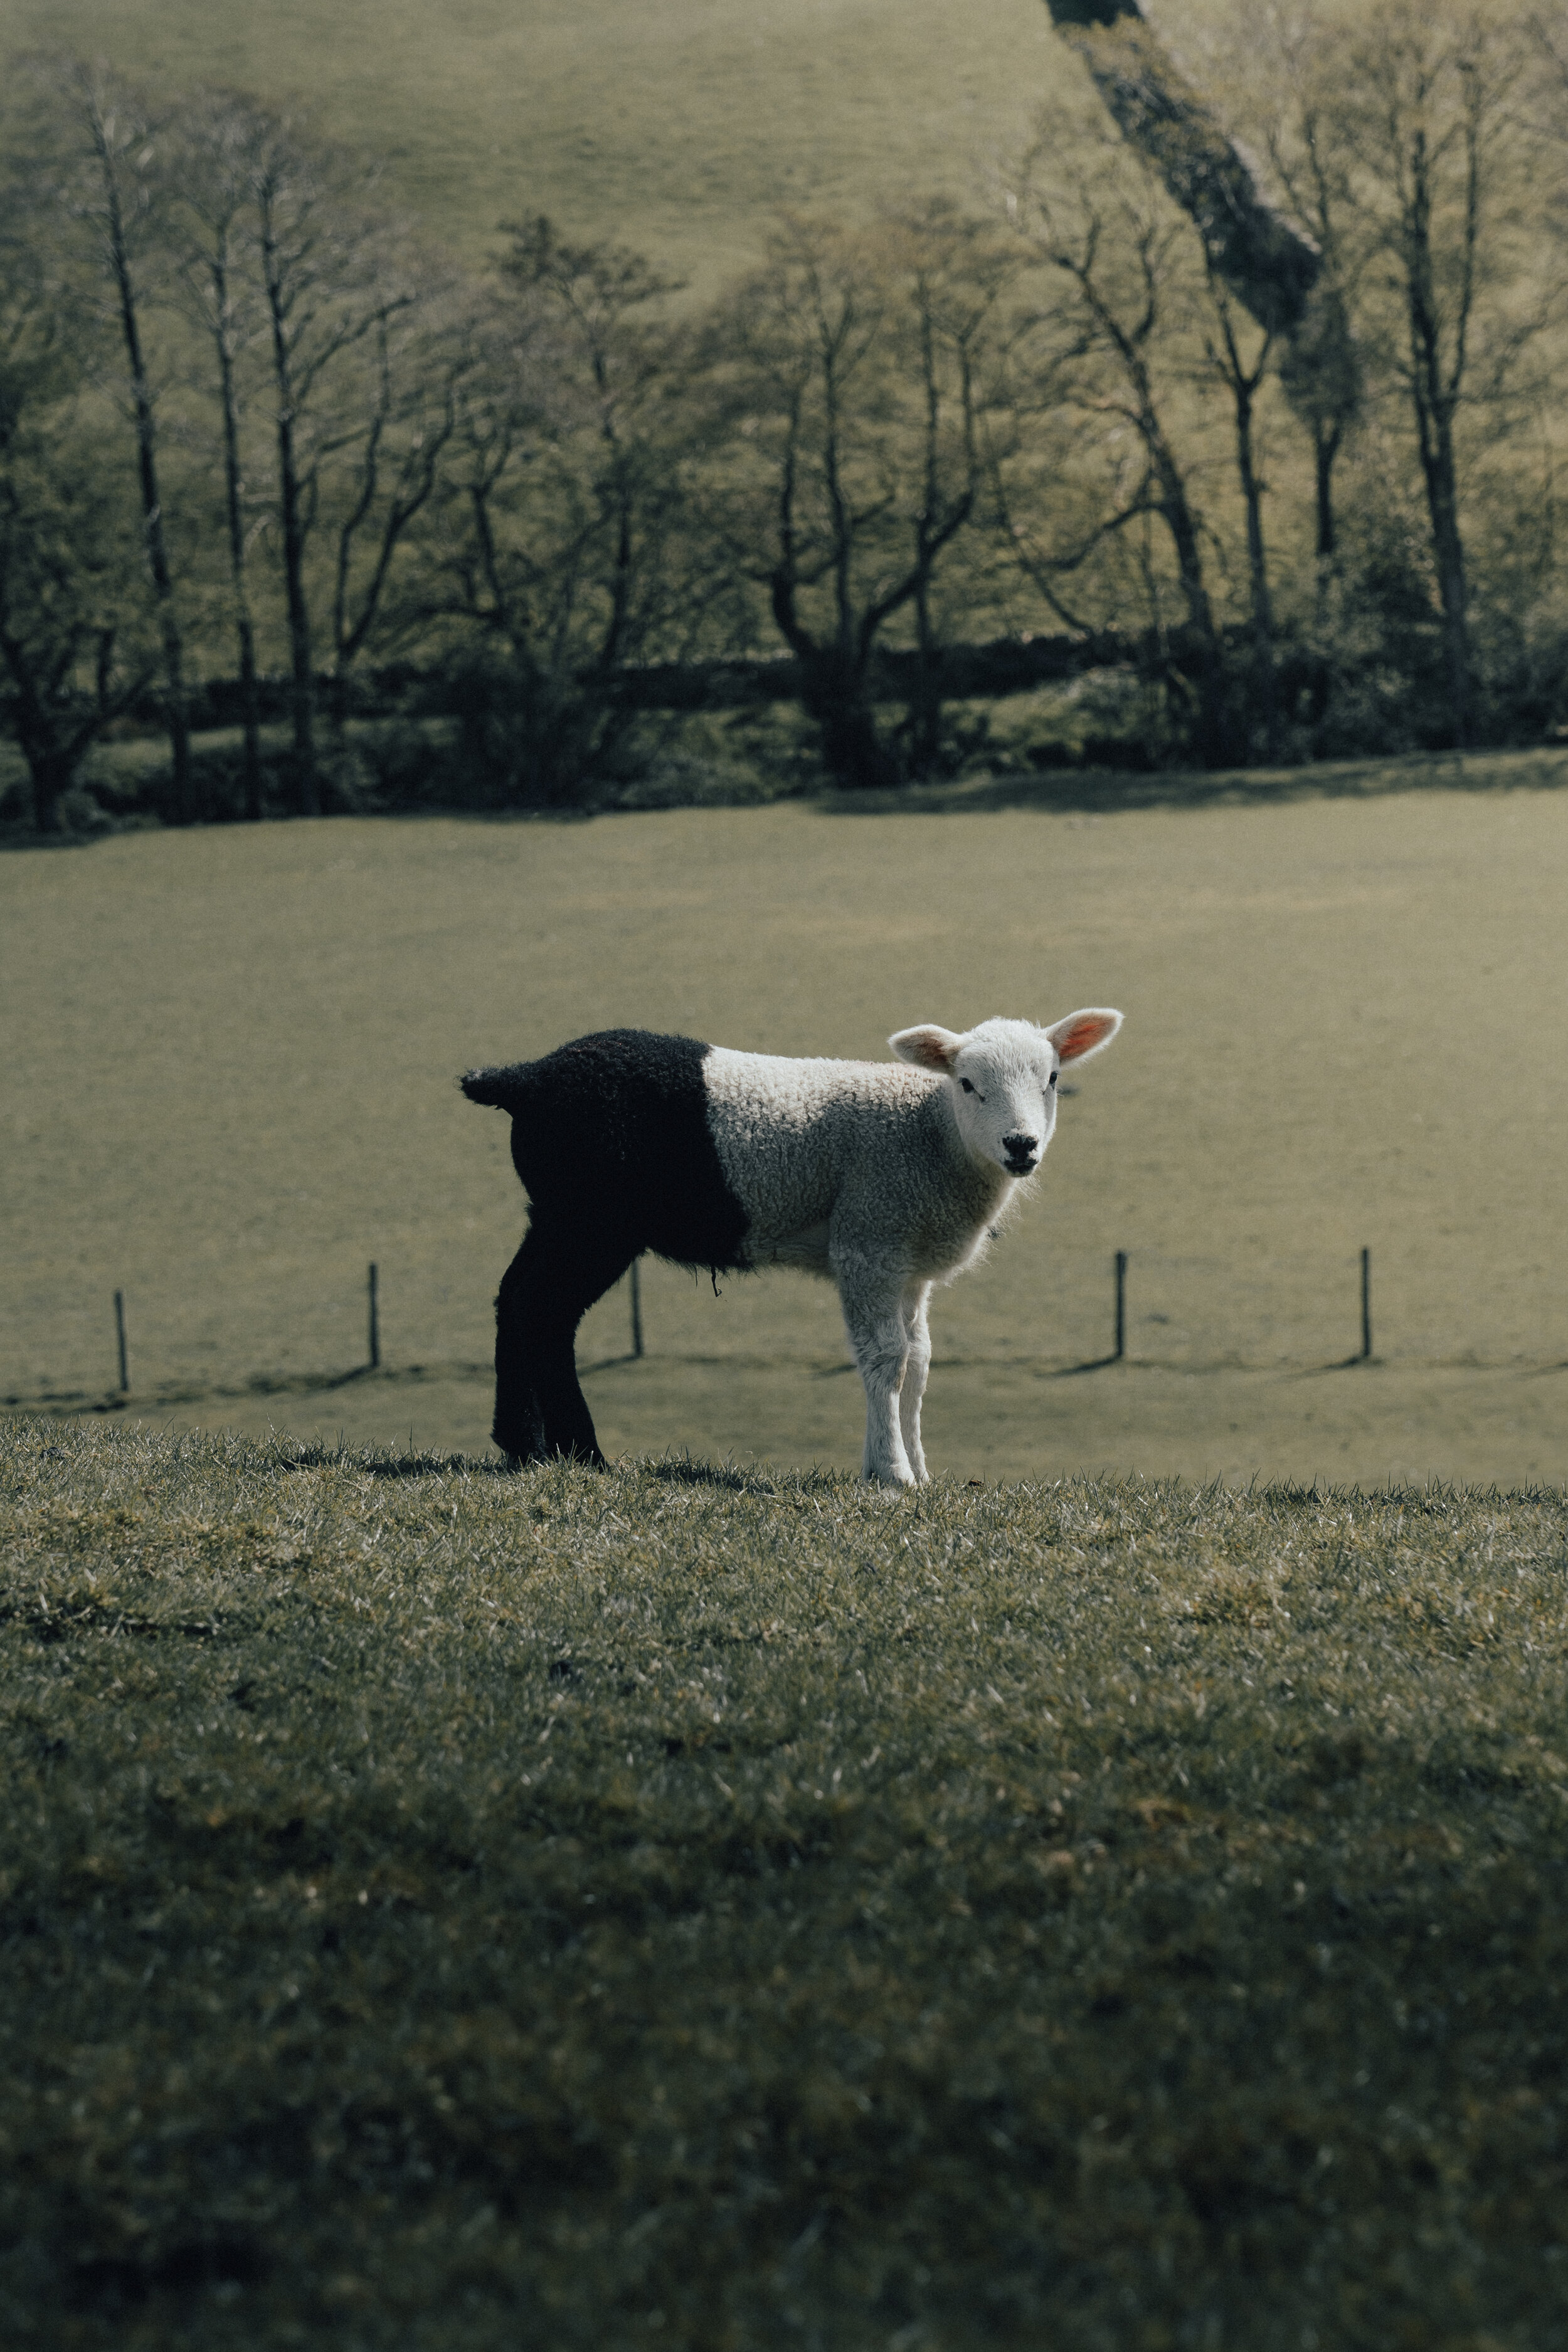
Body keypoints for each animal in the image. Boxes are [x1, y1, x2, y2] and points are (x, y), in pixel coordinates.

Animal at [460, 1008, 1122, 1486]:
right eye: (967, 1084)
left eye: (1052, 1080)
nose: (1021, 1145)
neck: (930, 1133)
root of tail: (525, 1078)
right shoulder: (869, 1242)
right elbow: (886, 1358)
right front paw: (892, 1476)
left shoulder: (909, 1266)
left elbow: (919, 1362)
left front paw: (915, 1470)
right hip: (588, 1218)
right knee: (540, 1309)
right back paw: (558, 1448)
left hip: (560, 1215)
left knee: (525, 1305)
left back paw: (542, 1449)